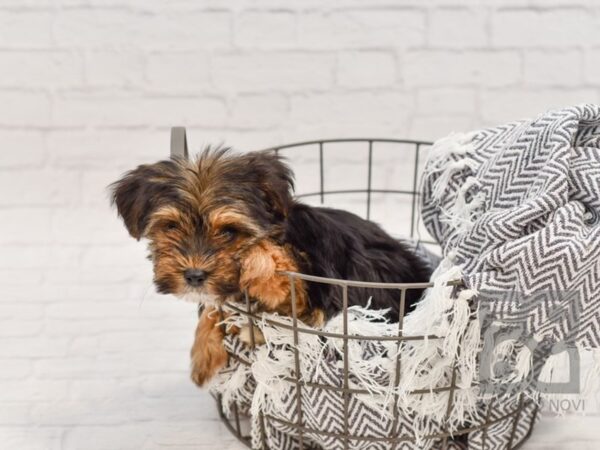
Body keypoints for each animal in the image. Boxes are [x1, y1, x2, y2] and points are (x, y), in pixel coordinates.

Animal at [111, 149, 432, 386]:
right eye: (170, 226)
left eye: (229, 232)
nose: (194, 275)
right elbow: (216, 305)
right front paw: (203, 353)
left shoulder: (311, 281)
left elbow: (273, 265)